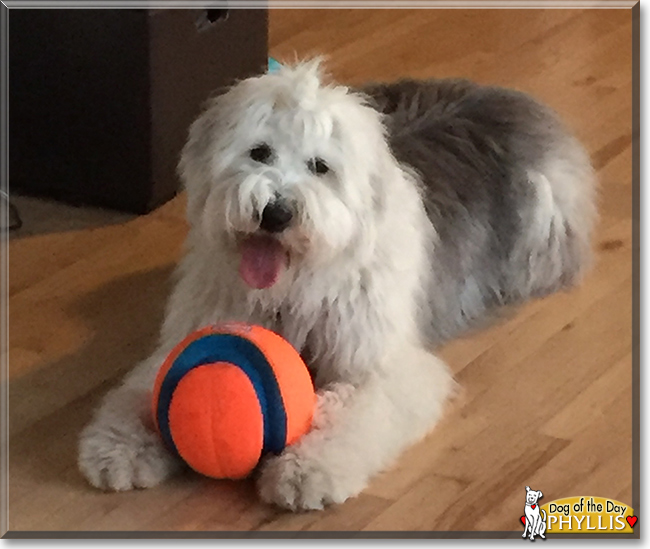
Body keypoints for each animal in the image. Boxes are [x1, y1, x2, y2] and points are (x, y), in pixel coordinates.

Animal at [78, 60, 596, 510]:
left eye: (319, 166)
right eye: (258, 152)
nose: (275, 213)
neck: (291, 287)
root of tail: (498, 94)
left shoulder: (382, 364)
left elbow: (352, 415)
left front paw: (305, 472)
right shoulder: (197, 331)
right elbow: (144, 387)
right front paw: (118, 448)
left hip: (544, 220)